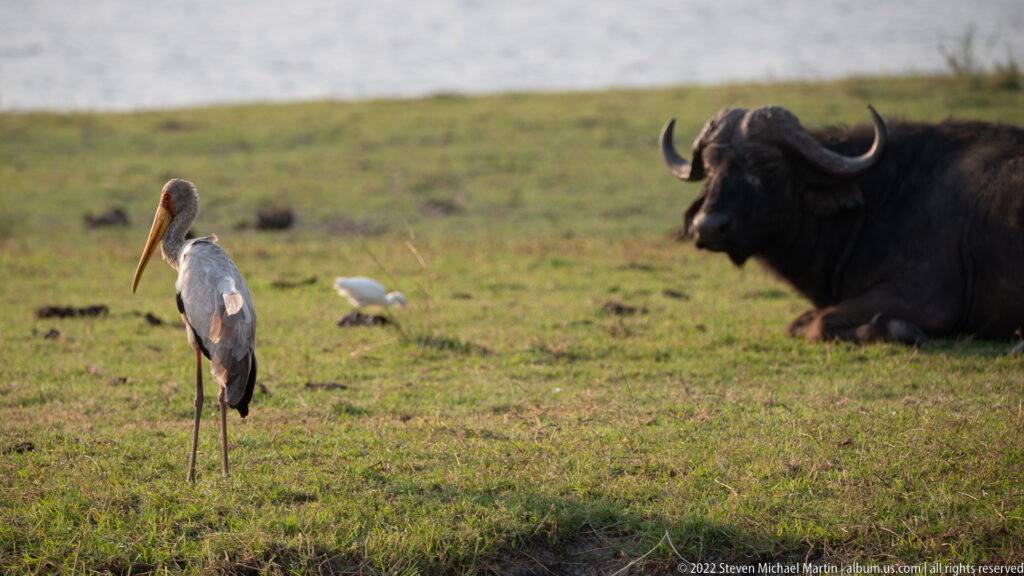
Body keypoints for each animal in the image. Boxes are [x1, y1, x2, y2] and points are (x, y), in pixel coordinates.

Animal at [660, 105, 1024, 348]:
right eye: (711, 168)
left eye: (768, 166)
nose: (708, 227)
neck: (880, 198)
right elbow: (800, 323)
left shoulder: (926, 300)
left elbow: (819, 324)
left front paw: (900, 331)